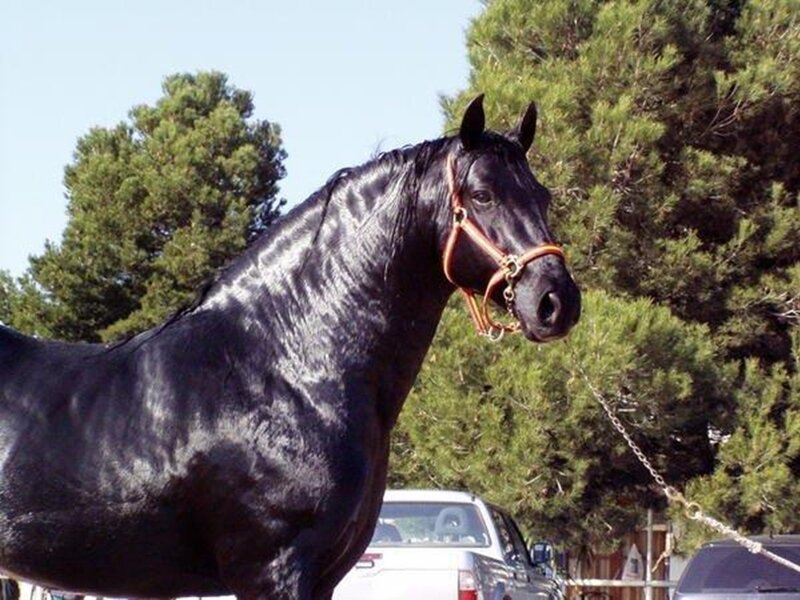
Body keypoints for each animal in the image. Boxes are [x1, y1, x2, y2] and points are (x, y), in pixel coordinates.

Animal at [0, 95, 580, 600]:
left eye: (543, 196)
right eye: (482, 195)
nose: (556, 301)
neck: (284, 369)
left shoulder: (323, 575)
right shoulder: (273, 570)